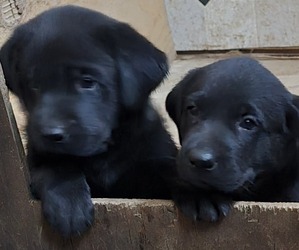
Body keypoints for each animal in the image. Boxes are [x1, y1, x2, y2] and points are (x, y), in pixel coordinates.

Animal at [0, 5, 178, 236]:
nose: (51, 134)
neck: (103, 154)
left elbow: (168, 168)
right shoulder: (37, 157)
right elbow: (54, 166)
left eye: (87, 82)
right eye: (34, 85)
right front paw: (68, 206)